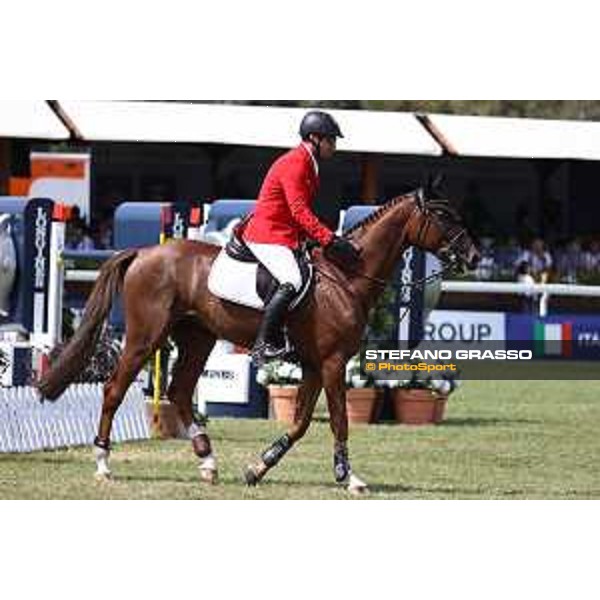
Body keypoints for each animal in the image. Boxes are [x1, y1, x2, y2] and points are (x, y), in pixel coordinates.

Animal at [36, 191, 478, 492]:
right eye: (442, 215)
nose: (473, 257)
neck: (345, 276)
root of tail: (144, 252)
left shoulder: (315, 364)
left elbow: (300, 424)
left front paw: (258, 467)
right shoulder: (333, 362)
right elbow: (338, 420)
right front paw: (348, 476)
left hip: (197, 337)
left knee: (179, 392)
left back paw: (208, 460)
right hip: (146, 338)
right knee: (114, 388)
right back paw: (103, 463)